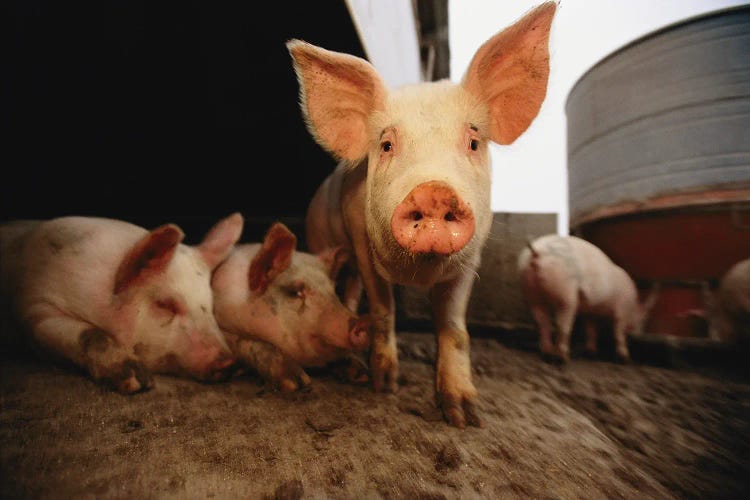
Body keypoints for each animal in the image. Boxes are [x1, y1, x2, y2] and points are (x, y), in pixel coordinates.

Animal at [0, 213, 242, 392]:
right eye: (164, 304)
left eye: (210, 305)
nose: (229, 362)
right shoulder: (34, 305)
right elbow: (89, 334)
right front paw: (138, 381)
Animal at [212, 222, 370, 390]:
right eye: (295, 292)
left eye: (334, 291)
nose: (361, 323)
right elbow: (250, 344)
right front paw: (297, 383)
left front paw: (362, 375)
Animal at [288, 1, 560, 428]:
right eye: (386, 144)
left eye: (473, 141)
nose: (433, 192)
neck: (418, 273)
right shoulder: (362, 241)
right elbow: (383, 309)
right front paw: (384, 386)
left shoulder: (470, 260)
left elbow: (454, 327)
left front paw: (464, 416)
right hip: (321, 239)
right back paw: (354, 371)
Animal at [516, 232, 656, 366]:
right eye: (644, 319)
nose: (637, 335)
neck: (633, 305)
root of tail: (537, 253)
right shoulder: (621, 310)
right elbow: (618, 333)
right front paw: (625, 360)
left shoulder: (590, 312)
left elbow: (591, 329)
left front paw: (591, 353)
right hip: (565, 291)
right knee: (562, 325)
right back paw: (562, 359)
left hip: (530, 290)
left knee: (542, 323)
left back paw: (547, 355)